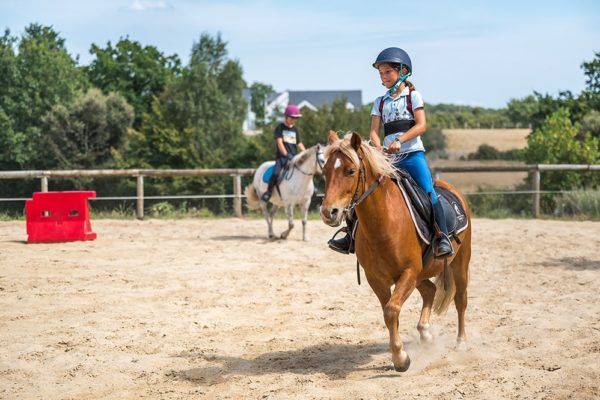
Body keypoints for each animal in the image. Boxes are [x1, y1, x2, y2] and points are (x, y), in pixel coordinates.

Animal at [322, 131, 472, 372]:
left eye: (350, 171)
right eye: (325, 170)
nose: (329, 212)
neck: (384, 223)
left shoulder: (408, 272)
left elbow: (392, 310)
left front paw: (401, 359)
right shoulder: (377, 279)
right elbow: (389, 313)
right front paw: (399, 354)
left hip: (460, 262)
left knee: (460, 299)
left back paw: (461, 342)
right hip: (422, 273)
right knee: (430, 290)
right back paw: (426, 334)